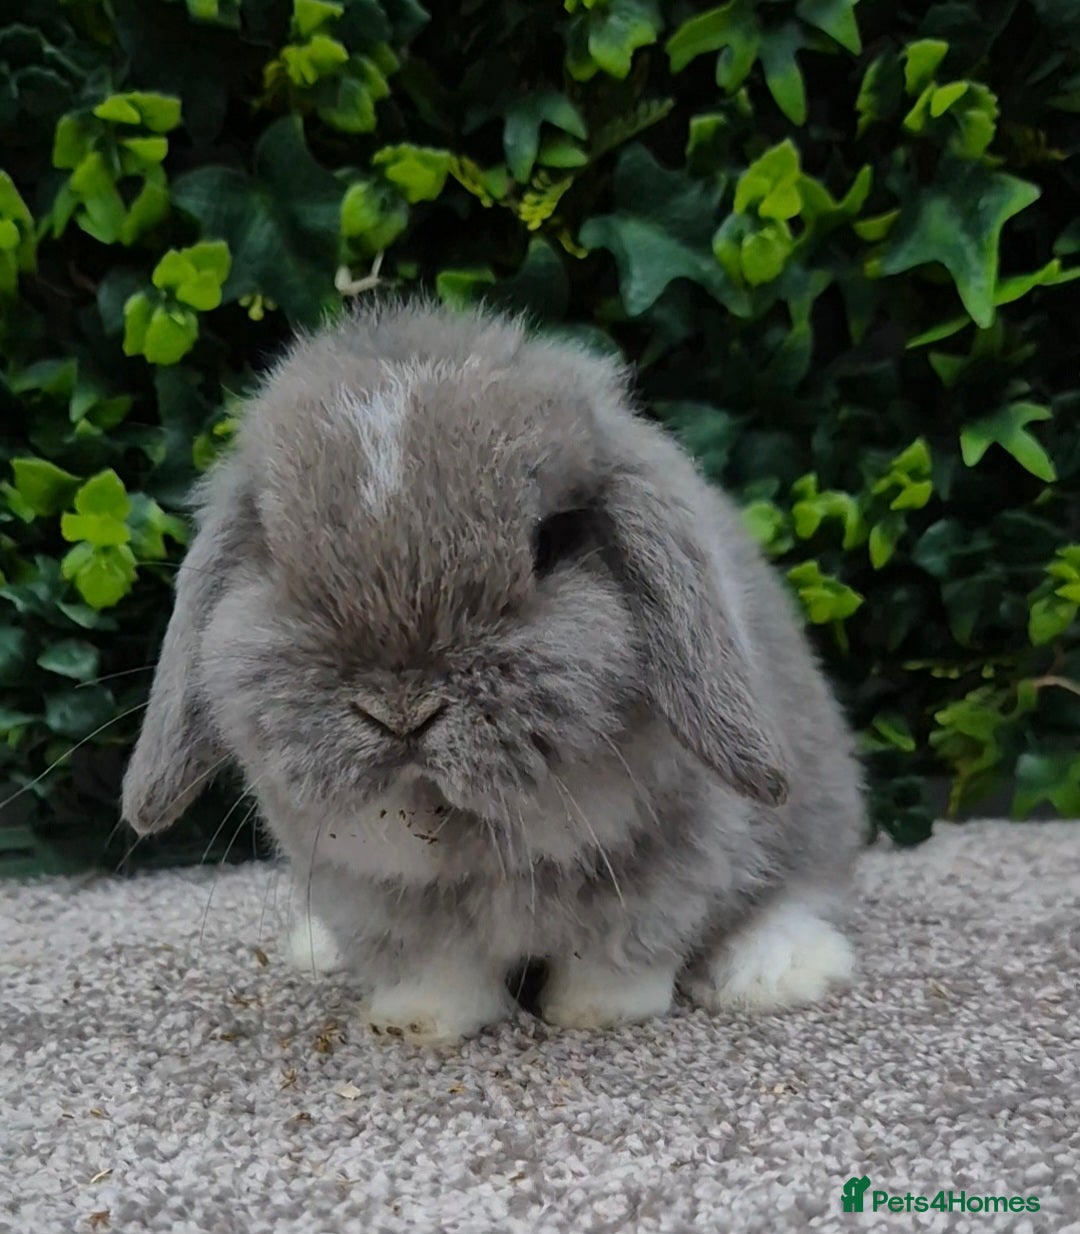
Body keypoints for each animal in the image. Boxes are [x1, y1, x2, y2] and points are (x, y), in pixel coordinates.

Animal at [122, 298, 865, 1043]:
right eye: (275, 555)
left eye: (551, 543)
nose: (401, 709)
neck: (470, 837)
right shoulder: (377, 895)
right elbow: (435, 967)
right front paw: (417, 1022)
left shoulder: (671, 862)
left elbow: (620, 952)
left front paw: (595, 1013)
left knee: (800, 890)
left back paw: (776, 971)